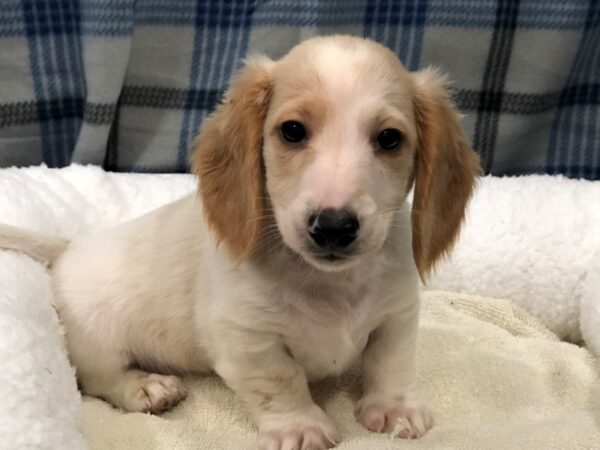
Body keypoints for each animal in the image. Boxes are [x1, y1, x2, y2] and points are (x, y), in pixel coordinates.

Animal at [0, 36, 478, 450]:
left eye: (390, 138)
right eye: (292, 131)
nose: (333, 226)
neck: (328, 282)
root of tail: (70, 248)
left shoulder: (397, 315)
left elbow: (390, 363)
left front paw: (395, 408)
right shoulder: (246, 339)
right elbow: (281, 381)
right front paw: (300, 428)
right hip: (97, 340)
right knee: (101, 379)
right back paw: (146, 387)